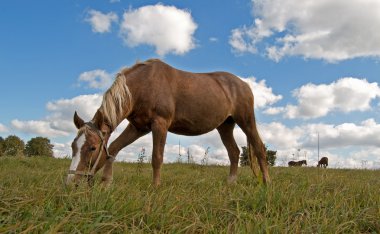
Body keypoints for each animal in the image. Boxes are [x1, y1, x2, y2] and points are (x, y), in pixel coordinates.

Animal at [66, 58, 270, 186]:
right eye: (73, 146)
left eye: (92, 147)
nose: (70, 182)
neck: (143, 85)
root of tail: (244, 84)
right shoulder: (138, 127)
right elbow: (114, 147)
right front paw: (106, 182)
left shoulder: (160, 124)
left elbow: (157, 157)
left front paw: (155, 187)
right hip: (225, 126)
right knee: (234, 153)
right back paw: (230, 183)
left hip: (246, 120)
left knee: (259, 148)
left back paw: (267, 184)